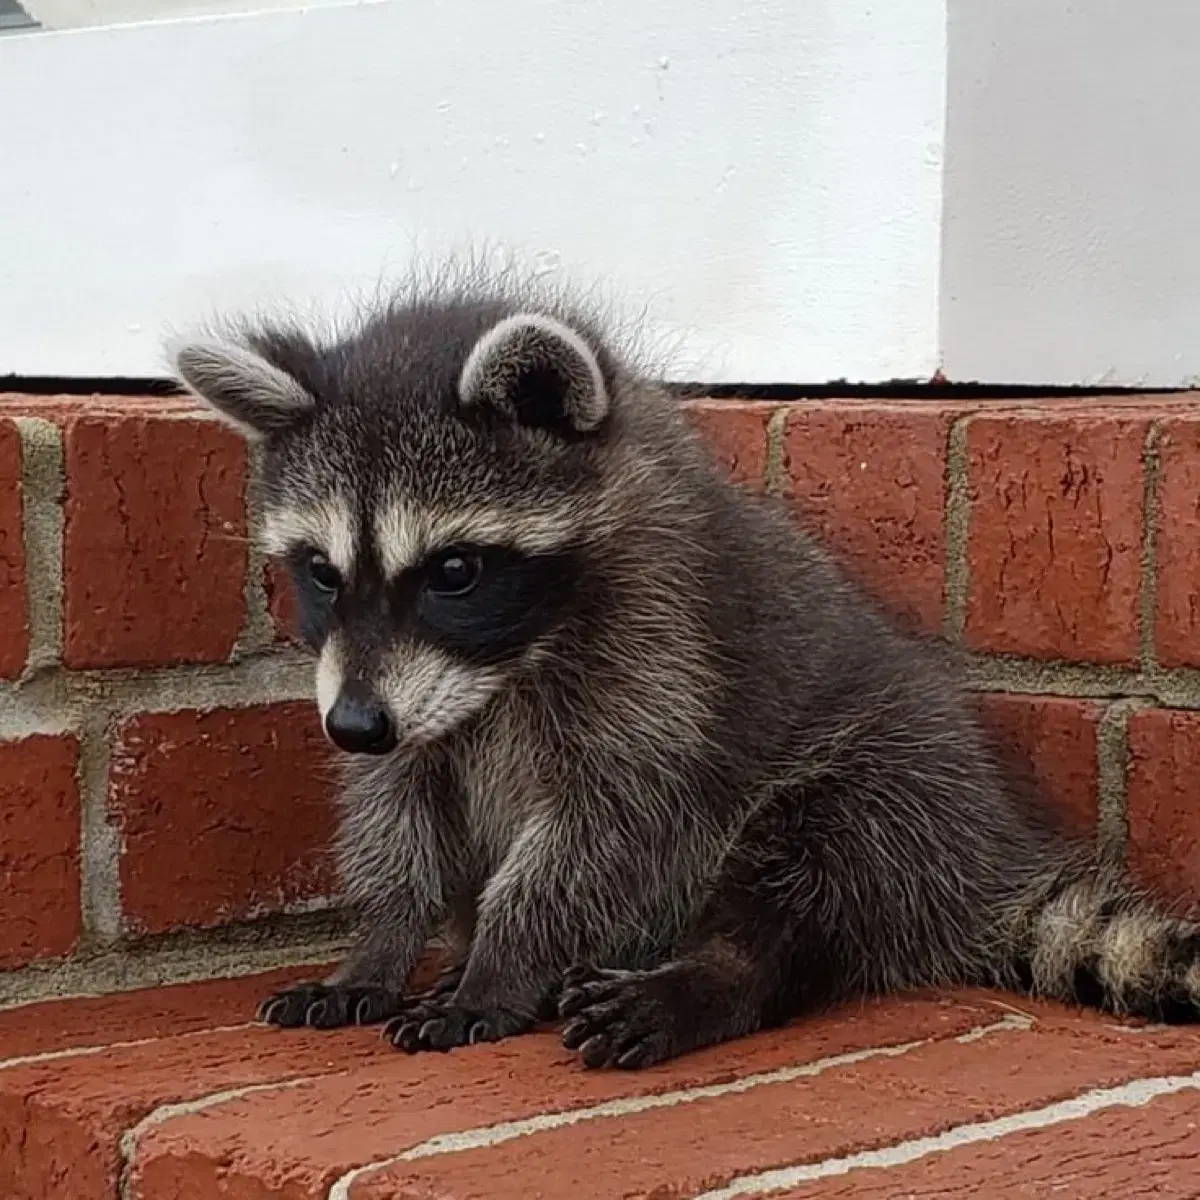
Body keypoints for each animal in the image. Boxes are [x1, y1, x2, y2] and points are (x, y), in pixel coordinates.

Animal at [169, 265, 1200, 1070]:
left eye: (454, 572)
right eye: (320, 571)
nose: (353, 728)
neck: (505, 666)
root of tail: (978, 860)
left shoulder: (660, 659)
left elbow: (601, 832)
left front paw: (503, 960)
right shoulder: (396, 697)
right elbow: (397, 818)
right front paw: (379, 946)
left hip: (889, 781)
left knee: (810, 870)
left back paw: (713, 976)